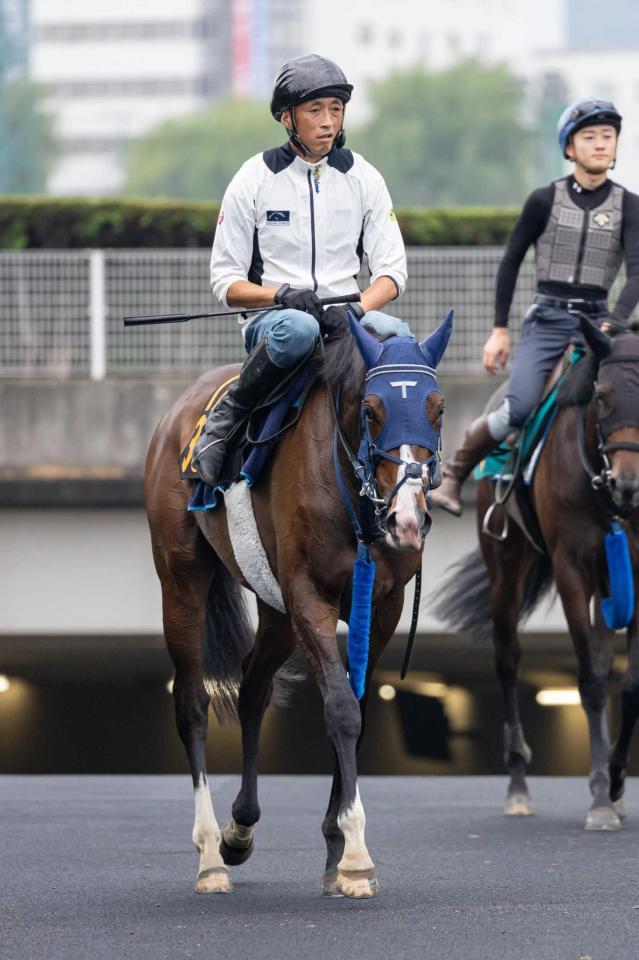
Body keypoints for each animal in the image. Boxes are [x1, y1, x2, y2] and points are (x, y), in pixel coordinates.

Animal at [147, 316, 452, 900]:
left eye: (438, 407)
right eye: (372, 409)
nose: (407, 518)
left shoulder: (381, 605)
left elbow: (358, 707)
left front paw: (336, 850)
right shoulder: (310, 595)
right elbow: (339, 707)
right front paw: (354, 856)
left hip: (276, 609)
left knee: (252, 689)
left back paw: (239, 829)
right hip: (182, 579)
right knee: (191, 702)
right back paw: (210, 855)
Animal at [436, 318, 639, 828]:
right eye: (602, 394)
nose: (629, 485)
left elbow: (628, 682)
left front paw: (615, 781)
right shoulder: (571, 569)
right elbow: (590, 681)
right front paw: (601, 798)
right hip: (505, 564)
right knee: (508, 659)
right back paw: (518, 787)